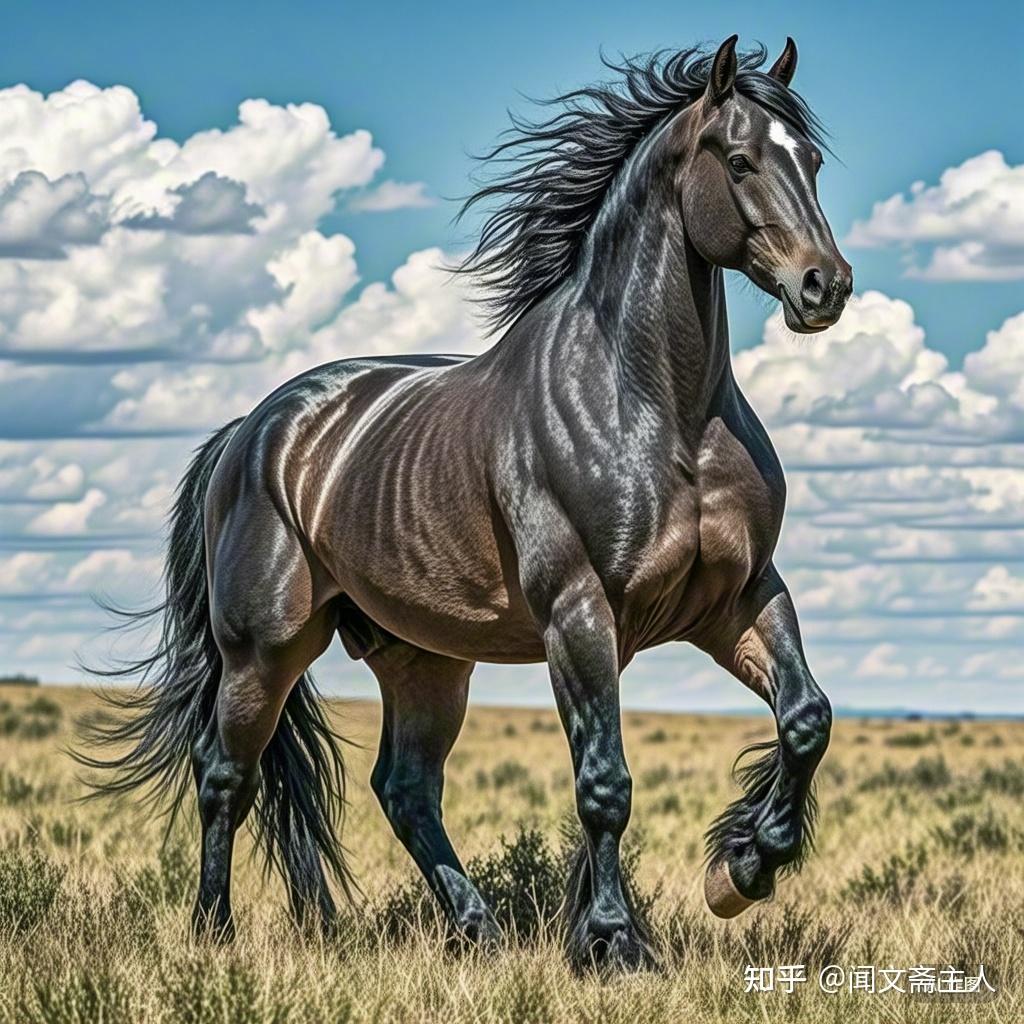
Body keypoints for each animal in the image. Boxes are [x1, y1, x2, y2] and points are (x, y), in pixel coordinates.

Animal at [83, 35, 852, 971]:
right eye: (738, 160)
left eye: (811, 159)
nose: (824, 287)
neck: (662, 410)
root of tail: (251, 432)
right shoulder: (579, 615)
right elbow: (604, 783)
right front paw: (614, 942)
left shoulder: (736, 599)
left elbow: (806, 720)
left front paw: (740, 871)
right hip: (262, 650)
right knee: (227, 774)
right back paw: (214, 933)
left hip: (424, 660)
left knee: (405, 789)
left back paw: (478, 929)